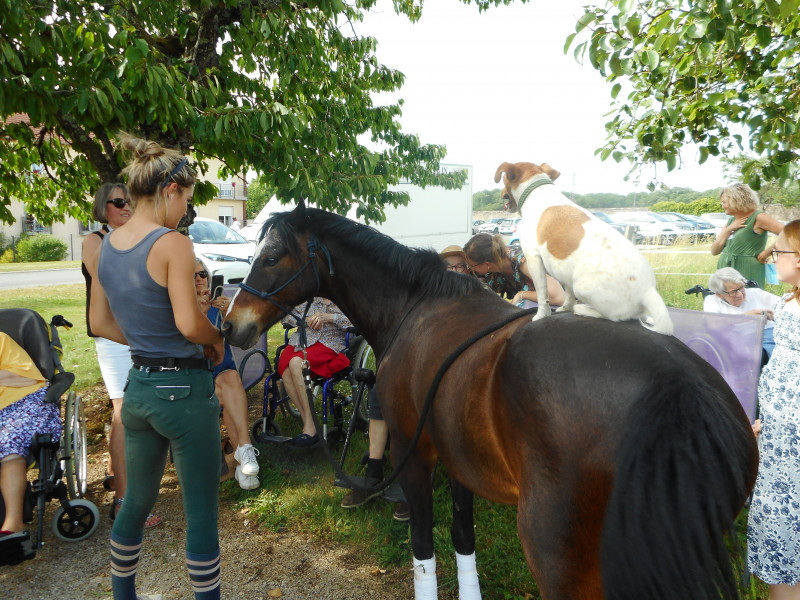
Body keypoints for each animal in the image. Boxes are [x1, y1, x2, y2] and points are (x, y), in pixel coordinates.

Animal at [223, 204, 756, 596]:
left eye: (271, 257)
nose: (230, 325)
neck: (416, 307)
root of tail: (677, 386)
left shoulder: (414, 456)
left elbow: (423, 549)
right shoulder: (462, 466)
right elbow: (464, 544)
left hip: (560, 556)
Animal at [494, 159, 676, 336]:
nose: (501, 193)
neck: (536, 191)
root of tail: (648, 291)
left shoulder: (533, 259)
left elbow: (542, 294)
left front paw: (541, 315)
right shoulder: (564, 270)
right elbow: (568, 295)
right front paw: (564, 308)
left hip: (582, 288)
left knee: (615, 317)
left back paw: (583, 309)